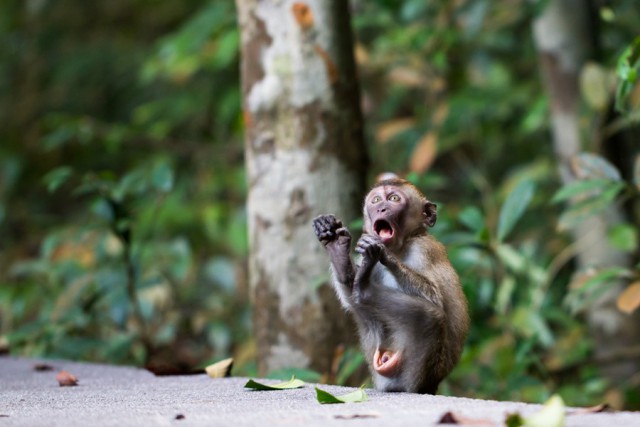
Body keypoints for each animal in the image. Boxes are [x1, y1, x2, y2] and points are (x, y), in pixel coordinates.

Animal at [312, 177, 468, 394]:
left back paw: (365, 290)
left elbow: (434, 296)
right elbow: (348, 298)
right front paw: (338, 248)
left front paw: (385, 254)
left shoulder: (424, 250)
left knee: (430, 316)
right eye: (376, 200)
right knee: (360, 307)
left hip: (418, 371)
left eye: (394, 198)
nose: (381, 208)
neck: (402, 246)